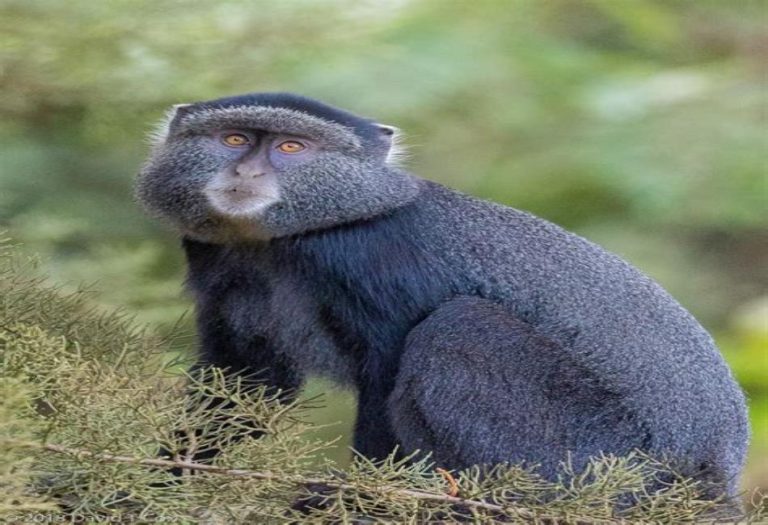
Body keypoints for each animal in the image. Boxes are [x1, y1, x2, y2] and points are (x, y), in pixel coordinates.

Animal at [136, 92, 748, 500]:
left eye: (291, 146)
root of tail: (715, 473)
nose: (247, 171)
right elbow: (243, 384)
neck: (278, 242)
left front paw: (363, 499)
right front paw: (158, 486)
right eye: (235, 138)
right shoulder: (218, 262)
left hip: (600, 457)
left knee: (459, 325)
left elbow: (385, 375)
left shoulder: (370, 258)